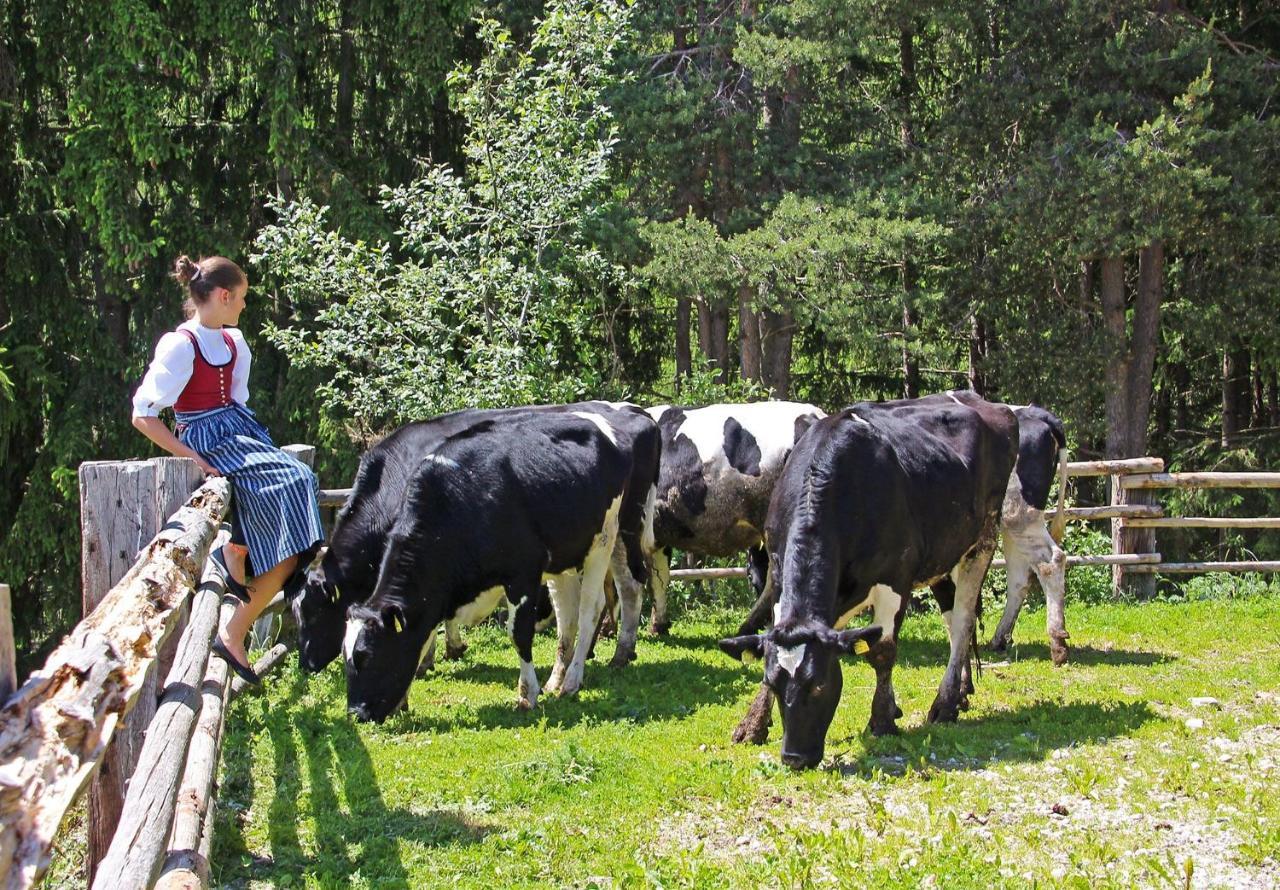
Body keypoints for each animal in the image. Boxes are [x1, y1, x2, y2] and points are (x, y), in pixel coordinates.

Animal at [296, 399, 660, 671]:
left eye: (311, 611)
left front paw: (433, 655)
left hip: (627, 525)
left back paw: (618, 652)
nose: (306, 664)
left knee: (630, 584)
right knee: (623, 584)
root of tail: (639, 413)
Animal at [345, 409, 645, 722]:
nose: (355, 712)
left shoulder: (523, 574)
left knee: (592, 609)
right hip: (565, 555)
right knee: (568, 614)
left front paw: (527, 694)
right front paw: (403, 699)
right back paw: (557, 679)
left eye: (368, 655)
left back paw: (572, 681)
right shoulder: (432, 599)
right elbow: (423, 640)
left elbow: (519, 633)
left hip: (605, 538)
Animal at [727, 394, 1013, 768]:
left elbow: (882, 651)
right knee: (953, 623)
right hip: (942, 552)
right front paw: (753, 724)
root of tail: (981, 400)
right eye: (775, 684)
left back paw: (946, 703)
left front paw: (882, 719)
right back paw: (961, 692)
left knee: (964, 621)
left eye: (819, 685)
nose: (794, 758)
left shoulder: (894, 579)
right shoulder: (780, 577)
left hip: (982, 540)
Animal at [983, 407, 1075, 665]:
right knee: (1019, 578)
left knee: (1051, 561)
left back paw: (1057, 643)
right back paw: (999, 639)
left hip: (1019, 515)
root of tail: (1034, 411)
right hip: (1012, 523)